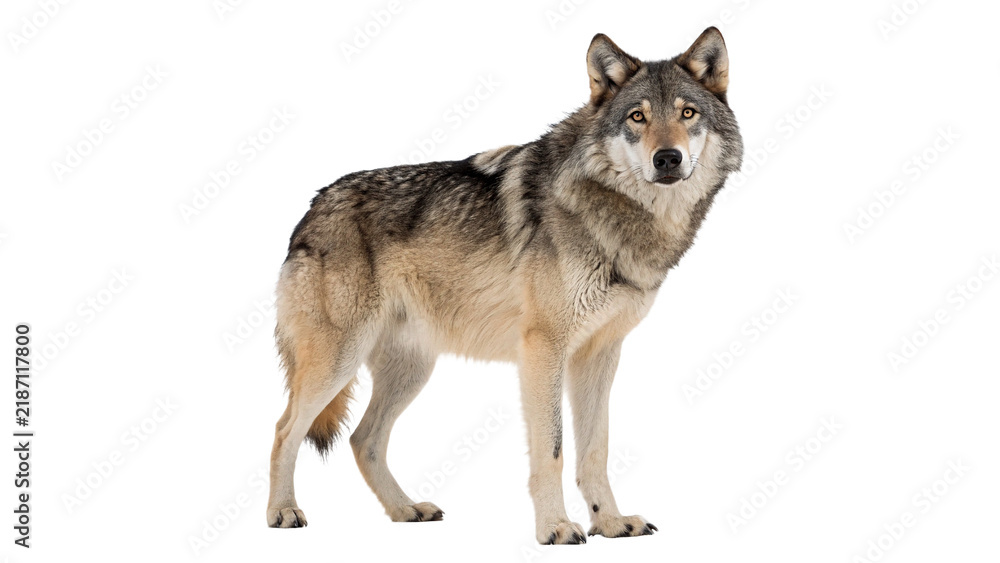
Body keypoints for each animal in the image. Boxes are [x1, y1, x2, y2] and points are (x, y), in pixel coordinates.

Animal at [266, 27, 743, 544]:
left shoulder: (599, 354)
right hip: (338, 362)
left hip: (411, 370)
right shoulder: (543, 349)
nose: (667, 158)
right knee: (284, 429)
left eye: (687, 113)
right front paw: (556, 528)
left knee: (362, 439)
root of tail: (310, 210)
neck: (617, 216)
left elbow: (595, 450)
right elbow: (552, 450)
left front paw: (611, 523)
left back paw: (405, 510)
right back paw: (283, 512)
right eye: (638, 117)